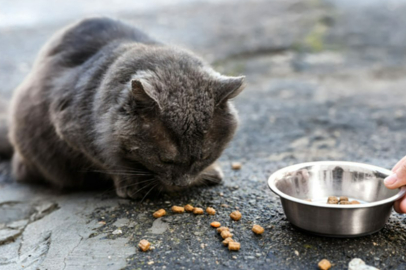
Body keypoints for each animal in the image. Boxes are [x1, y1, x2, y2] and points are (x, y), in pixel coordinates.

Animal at [0, 17, 246, 198]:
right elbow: (107, 160)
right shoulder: (71, 130)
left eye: (204, 156)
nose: (181, 183)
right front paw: (133, 184)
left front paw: (208, 172)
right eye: (164, 160)